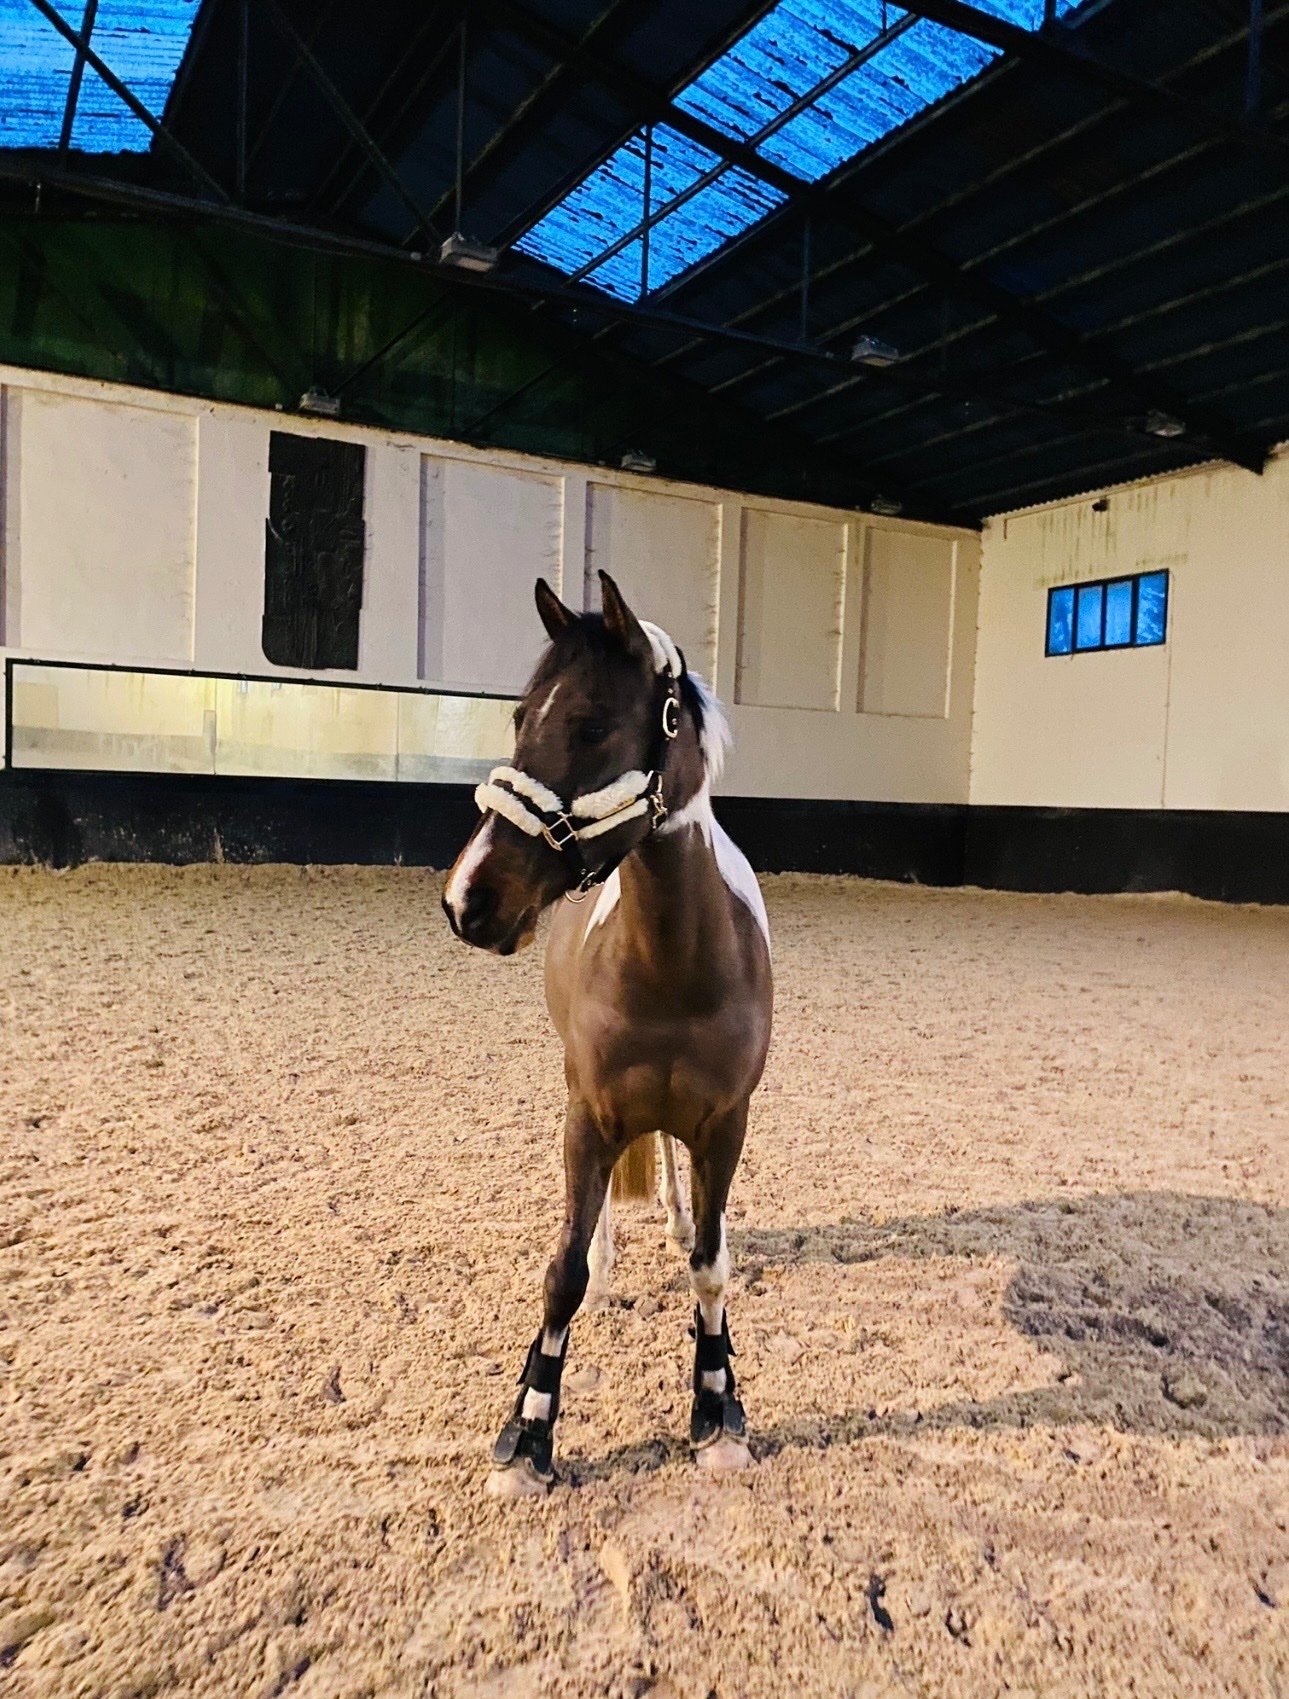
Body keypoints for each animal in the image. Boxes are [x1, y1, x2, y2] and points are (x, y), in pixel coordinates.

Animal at [443, 571, 773, 1496]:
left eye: (591, 724)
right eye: (521, 718)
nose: (468, 897)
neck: (674, 966)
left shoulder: (723, 1126)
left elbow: (711, 1266)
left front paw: (716, 1408)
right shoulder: (587, 1116)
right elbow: (561, 1272)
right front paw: (529, 1433)